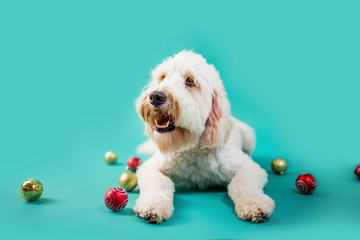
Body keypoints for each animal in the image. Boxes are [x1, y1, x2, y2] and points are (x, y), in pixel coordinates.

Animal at [134, 50, 274, 223]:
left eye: (190, 81)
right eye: (163, 77)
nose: (155, 96)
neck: (193, 149)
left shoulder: (250, 168)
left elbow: (243, 182)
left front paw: (255, 204)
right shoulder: (151, 168)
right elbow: (159, 182)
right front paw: (153, 205)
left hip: (249, 136)